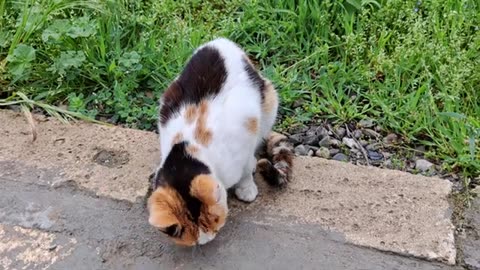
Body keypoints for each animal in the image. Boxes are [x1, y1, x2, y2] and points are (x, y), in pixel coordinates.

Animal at [148, 38, 294, 247]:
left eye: (212, 222)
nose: (205, 240)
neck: (187, 149)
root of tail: (220, 41)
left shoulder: (244, 138)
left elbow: (246, 168)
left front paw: (246, 188)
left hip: (269, 103)